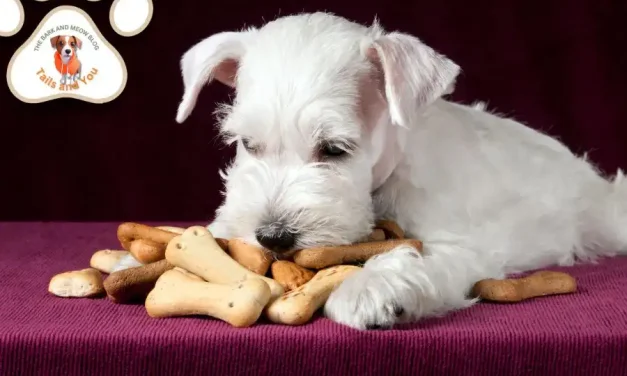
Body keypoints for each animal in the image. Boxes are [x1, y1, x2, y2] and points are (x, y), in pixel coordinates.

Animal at [113, 11, 627, 328]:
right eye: (246, 144)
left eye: (335, 149)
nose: (273, 237)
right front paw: (138, 260)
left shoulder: (459, 244)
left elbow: (415, 256)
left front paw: (370, 287)